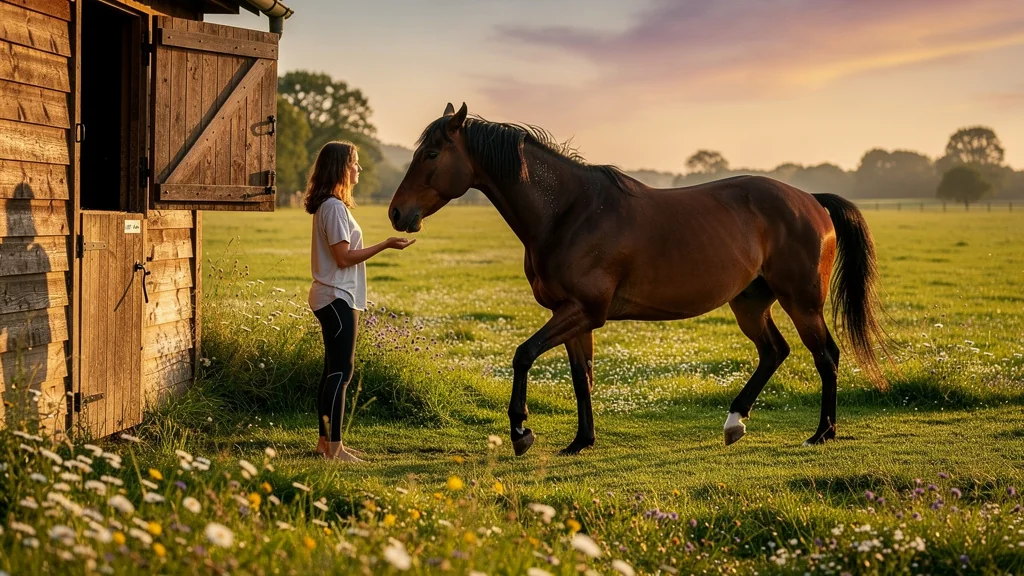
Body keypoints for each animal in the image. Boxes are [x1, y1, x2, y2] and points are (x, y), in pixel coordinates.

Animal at [388, 102, 890, 456]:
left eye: (431, 153)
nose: (397, 213)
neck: (570, 212)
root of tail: (811, 200)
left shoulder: (583, 312)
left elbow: (523, 355)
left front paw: (521, 432)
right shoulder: (573, 316)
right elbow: (582, 376)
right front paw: (581, 441)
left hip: (801, 301)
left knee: (825, 356)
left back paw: (822, 433)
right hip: (750, 302)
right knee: (774, 352)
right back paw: (735, 423)